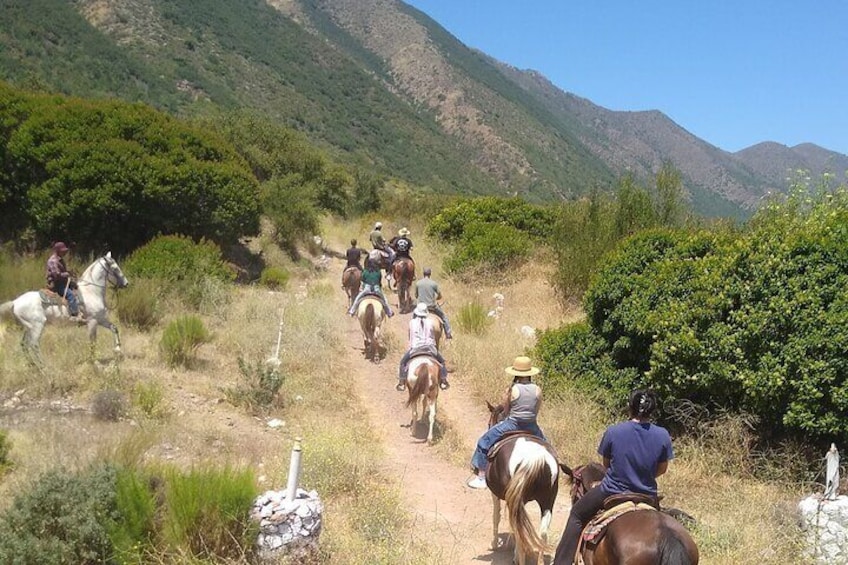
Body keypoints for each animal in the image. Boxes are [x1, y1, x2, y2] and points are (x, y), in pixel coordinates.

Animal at [0, 253, 129, 360]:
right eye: (115, 268)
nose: (126, 283)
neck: (91, 291)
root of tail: (15, 302)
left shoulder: (100, 319)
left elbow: (114, 328)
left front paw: (118, 349)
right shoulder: (92, 321)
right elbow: (93, 342)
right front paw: (93, 360)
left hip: (28, 327)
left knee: (24, 345)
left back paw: (33, 366)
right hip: (37, 326)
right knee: (33, 345)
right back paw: (43, 367)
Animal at [484, 400, 568, 564]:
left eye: (490, 422)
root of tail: (536, 458)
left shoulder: (495, 495)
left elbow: (496, 516)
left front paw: (495, 544)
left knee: (519, 530)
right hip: (547, 501)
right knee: (542, 532)